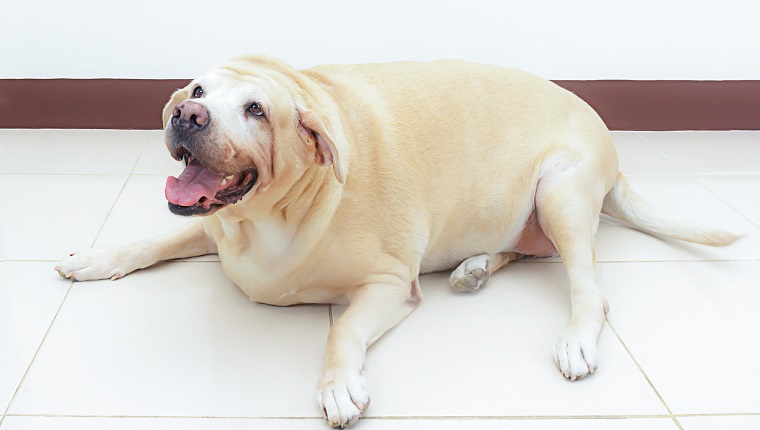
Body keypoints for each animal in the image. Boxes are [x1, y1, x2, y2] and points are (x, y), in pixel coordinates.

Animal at [56, 56, 740, 426]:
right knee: (527, 248)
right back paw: (475, 266)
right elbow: (150, 242)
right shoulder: (212, 226)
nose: (186, 115)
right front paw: (95, 257)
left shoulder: (387, 285)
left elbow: (340, 334)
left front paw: (336, 385)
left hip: (561, 192)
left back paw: (573, 336)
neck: (270, 216)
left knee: (588, 287)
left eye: (255, 109)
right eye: (198, 91)